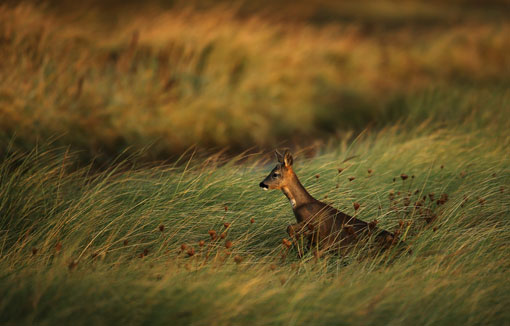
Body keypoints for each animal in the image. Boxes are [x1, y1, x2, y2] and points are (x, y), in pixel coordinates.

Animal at [258, 150, 398, 258]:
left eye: (275, 174)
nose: (262, 184)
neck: (301, 204)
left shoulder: (314, 224)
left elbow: (291, 229)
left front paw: (298, 250)